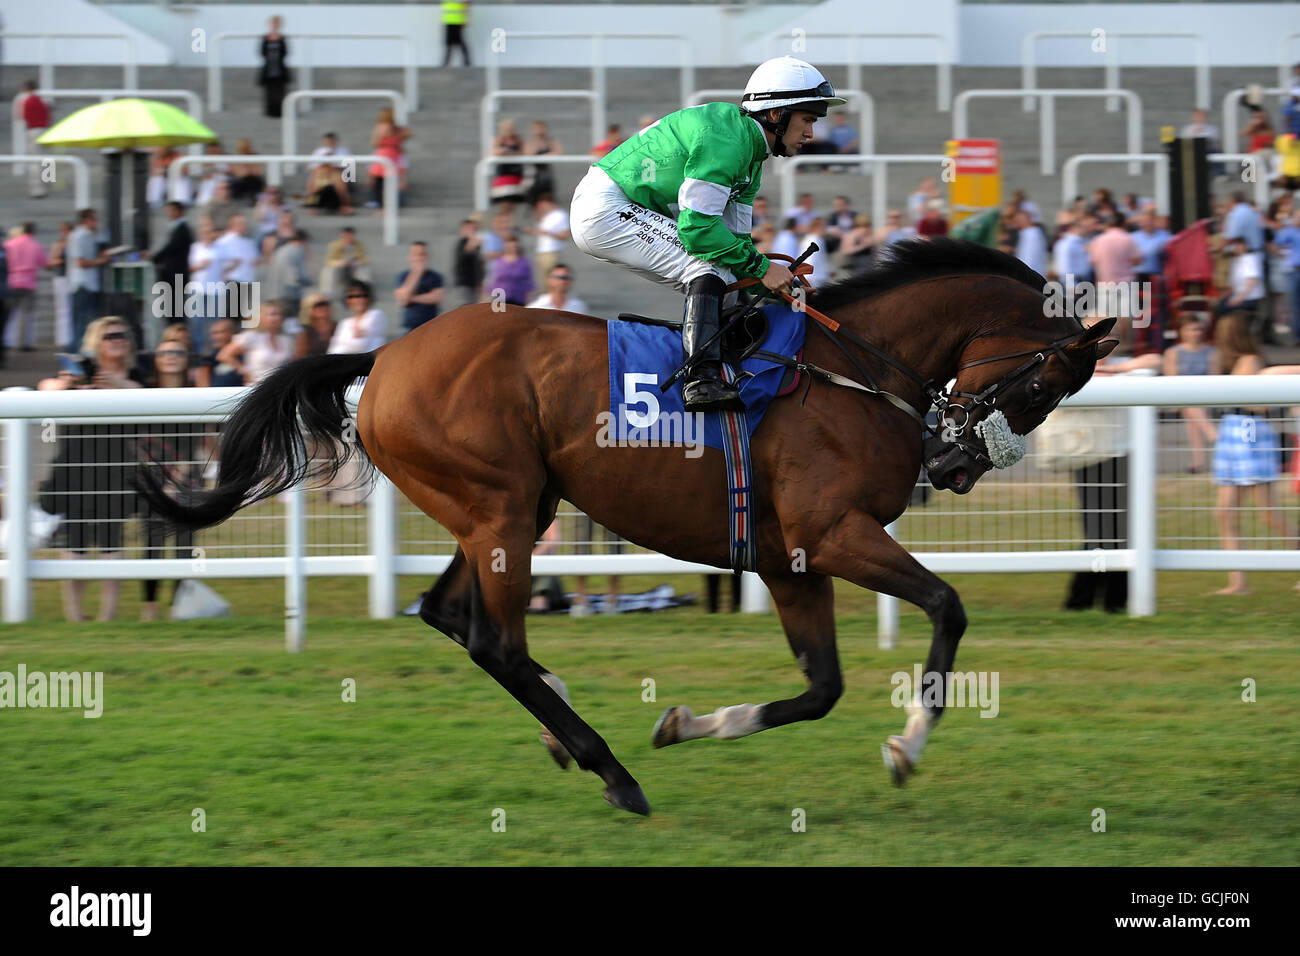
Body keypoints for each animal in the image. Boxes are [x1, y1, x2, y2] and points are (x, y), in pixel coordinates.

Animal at [139, 239, 1118, 816]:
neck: (852, 373)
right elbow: (947, 607)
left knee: (452, 616)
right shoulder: (836, 531)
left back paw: (565, 726)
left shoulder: (792, 558)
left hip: (507, 507)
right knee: (494, 642)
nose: (953, 467)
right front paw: (907, 747)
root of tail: (385, 356)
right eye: (1042, 386)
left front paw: (687, 722)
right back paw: (611, 770)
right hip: (500, 505)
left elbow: (821, 688)